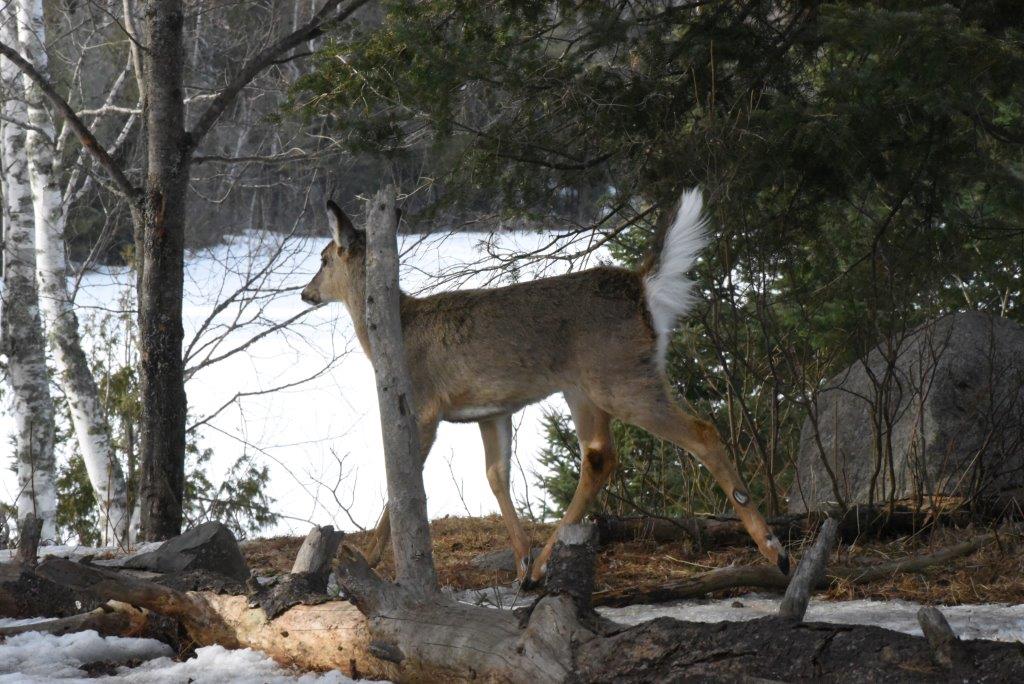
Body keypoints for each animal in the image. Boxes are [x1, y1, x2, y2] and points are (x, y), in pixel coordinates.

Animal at [300, 189, 790, 586]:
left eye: (324, 258)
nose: (306, 293)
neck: (393, 332)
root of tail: (640, 285)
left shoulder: (421, 405)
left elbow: (404, 478)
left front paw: (368, 556)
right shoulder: (491, 410)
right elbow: (496, 476)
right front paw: (520, 558)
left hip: (618, 377)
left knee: (701, 432)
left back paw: (775, 550)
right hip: (585, 387)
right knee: (600, 456)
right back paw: (538, 568)